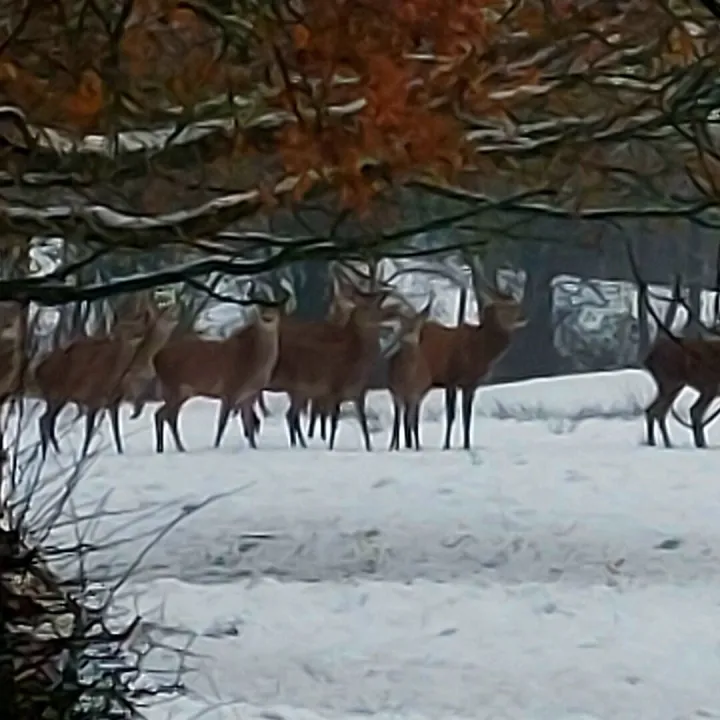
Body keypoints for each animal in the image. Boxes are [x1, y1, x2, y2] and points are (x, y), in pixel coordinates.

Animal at [34, 300, 179, 459]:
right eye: (162, 312)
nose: (174, 314)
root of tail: (38, 369)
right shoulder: (93, 399)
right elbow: (89, 432)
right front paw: (83, 455)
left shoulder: (113, 402)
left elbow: (116, 431)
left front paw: (120, 452)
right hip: (56, 395)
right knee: (45, 420)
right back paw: (49, 454)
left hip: (58, 397)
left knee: (46, 420)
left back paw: (52, 452)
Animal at [151, 282, 286, 453]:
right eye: (258, 305)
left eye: (276, 305)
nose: (267, 316)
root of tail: (156, 358)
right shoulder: (229, 388)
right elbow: (222, 423)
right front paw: (215, 447)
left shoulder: (248, 395)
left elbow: (249, 424)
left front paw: (254, 447)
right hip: (173, 386)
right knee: (168, 416)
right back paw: (180, 448)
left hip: (182, 391)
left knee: (161, 414)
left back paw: (162, 448)